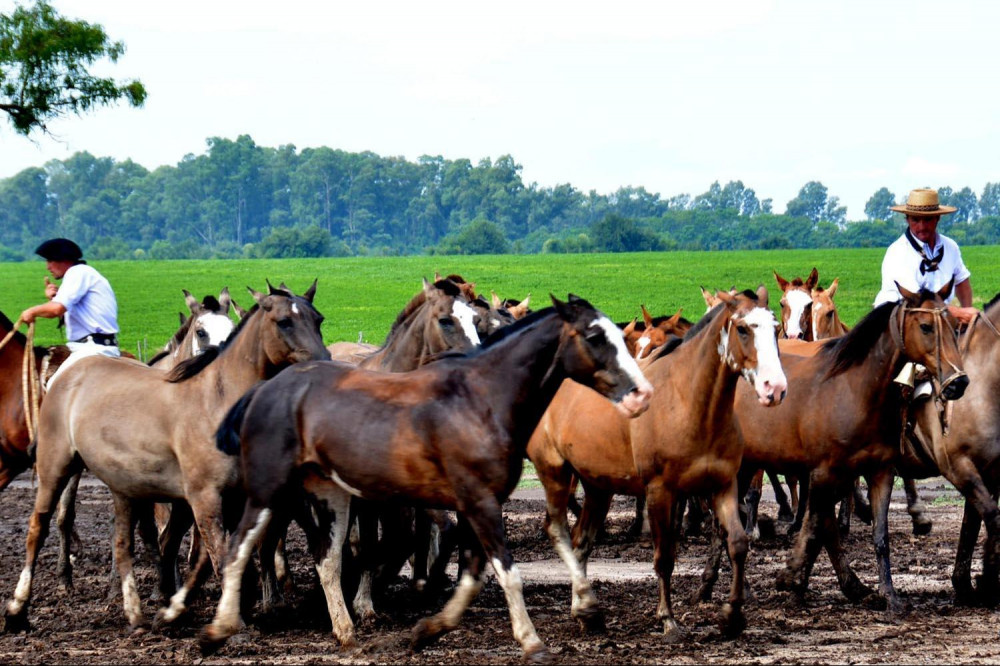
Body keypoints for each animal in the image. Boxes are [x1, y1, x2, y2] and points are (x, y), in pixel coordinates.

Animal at [4, 282, 332, 632]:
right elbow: (217, 556)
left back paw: (135, 614)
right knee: (38, 529)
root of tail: (67, 373)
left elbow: (221, 556)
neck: (217, 402)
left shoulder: (237, 499)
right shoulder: (204, 497)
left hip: (123, 489)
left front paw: (179, 610)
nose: (323, 362)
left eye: (318, 319)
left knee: (124, 544)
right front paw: (232, 625)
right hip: (55, 467)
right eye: (284, 322)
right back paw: (17, 611)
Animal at [201, 294, 656, 660]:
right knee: (238, 548)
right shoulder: (478, 502)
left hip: (331, 494)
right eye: (594, 337)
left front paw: (428, 630)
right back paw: (218, 631)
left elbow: (473, 576)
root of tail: (263, 390)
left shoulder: (476, 504)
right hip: (268, 491)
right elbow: (508, 572)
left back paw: (346, 633)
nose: (641, 394)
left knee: (327, 559)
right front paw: (533, 643)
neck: (480, 401)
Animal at [532, 286, 788, 640]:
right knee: (559, 532)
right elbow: (664, 557)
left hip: (598, 486)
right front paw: (668, 619)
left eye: (776, 329)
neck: (690, 404)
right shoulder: (659, 492)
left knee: (581, 541)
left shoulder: (722, 485)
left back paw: (585, 612)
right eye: (742, 329)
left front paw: (732, 615)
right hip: (557, 474)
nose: (774, 388)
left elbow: (737, 543)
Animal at [696, 280, 968, 612]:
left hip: (747, 465)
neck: (857, 390)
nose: (958, 382)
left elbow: (878, 534)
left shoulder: (879, 472)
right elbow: (818, 529)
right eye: (926, 326)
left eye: (954, 326)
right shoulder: (825, 472)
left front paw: (888, 594)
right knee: (724, 523)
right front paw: (794, 579)